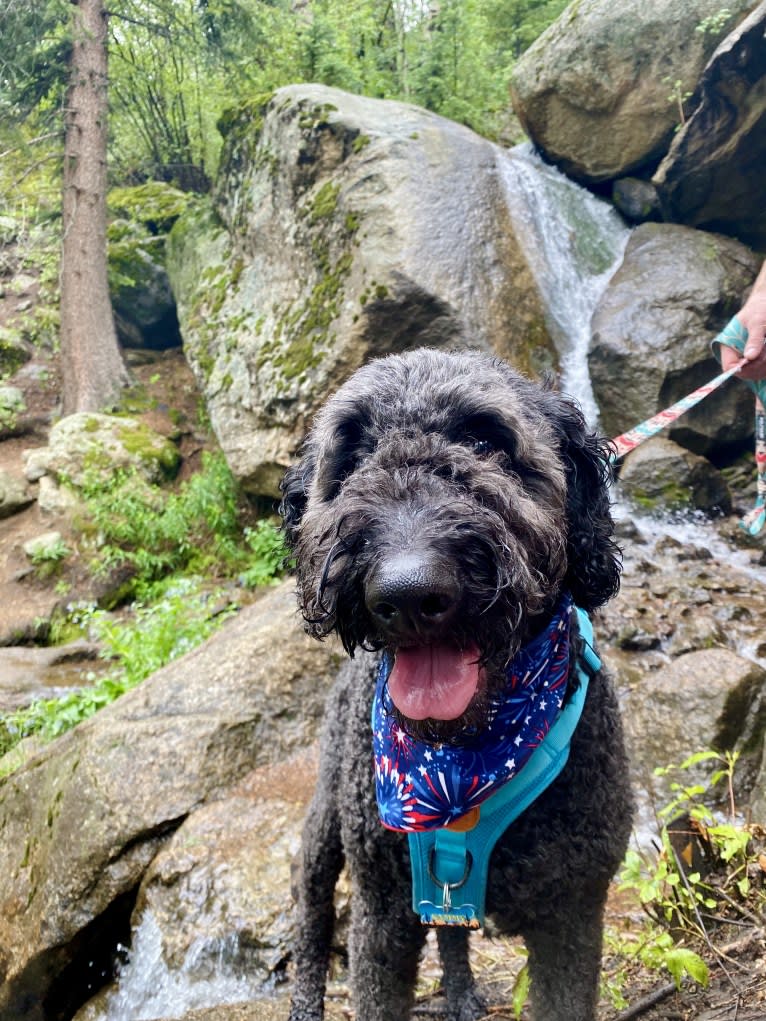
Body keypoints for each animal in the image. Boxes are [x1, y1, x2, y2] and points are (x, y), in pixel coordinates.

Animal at [283, 349, 637, 1021]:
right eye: (353, 454)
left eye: (485, 440)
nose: (407, 591)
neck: (461, 761)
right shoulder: (380, 919)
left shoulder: (573, 915)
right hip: (324, 830)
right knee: (311, 911)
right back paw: (306, 1000)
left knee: (448, 926)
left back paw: (463, 992)